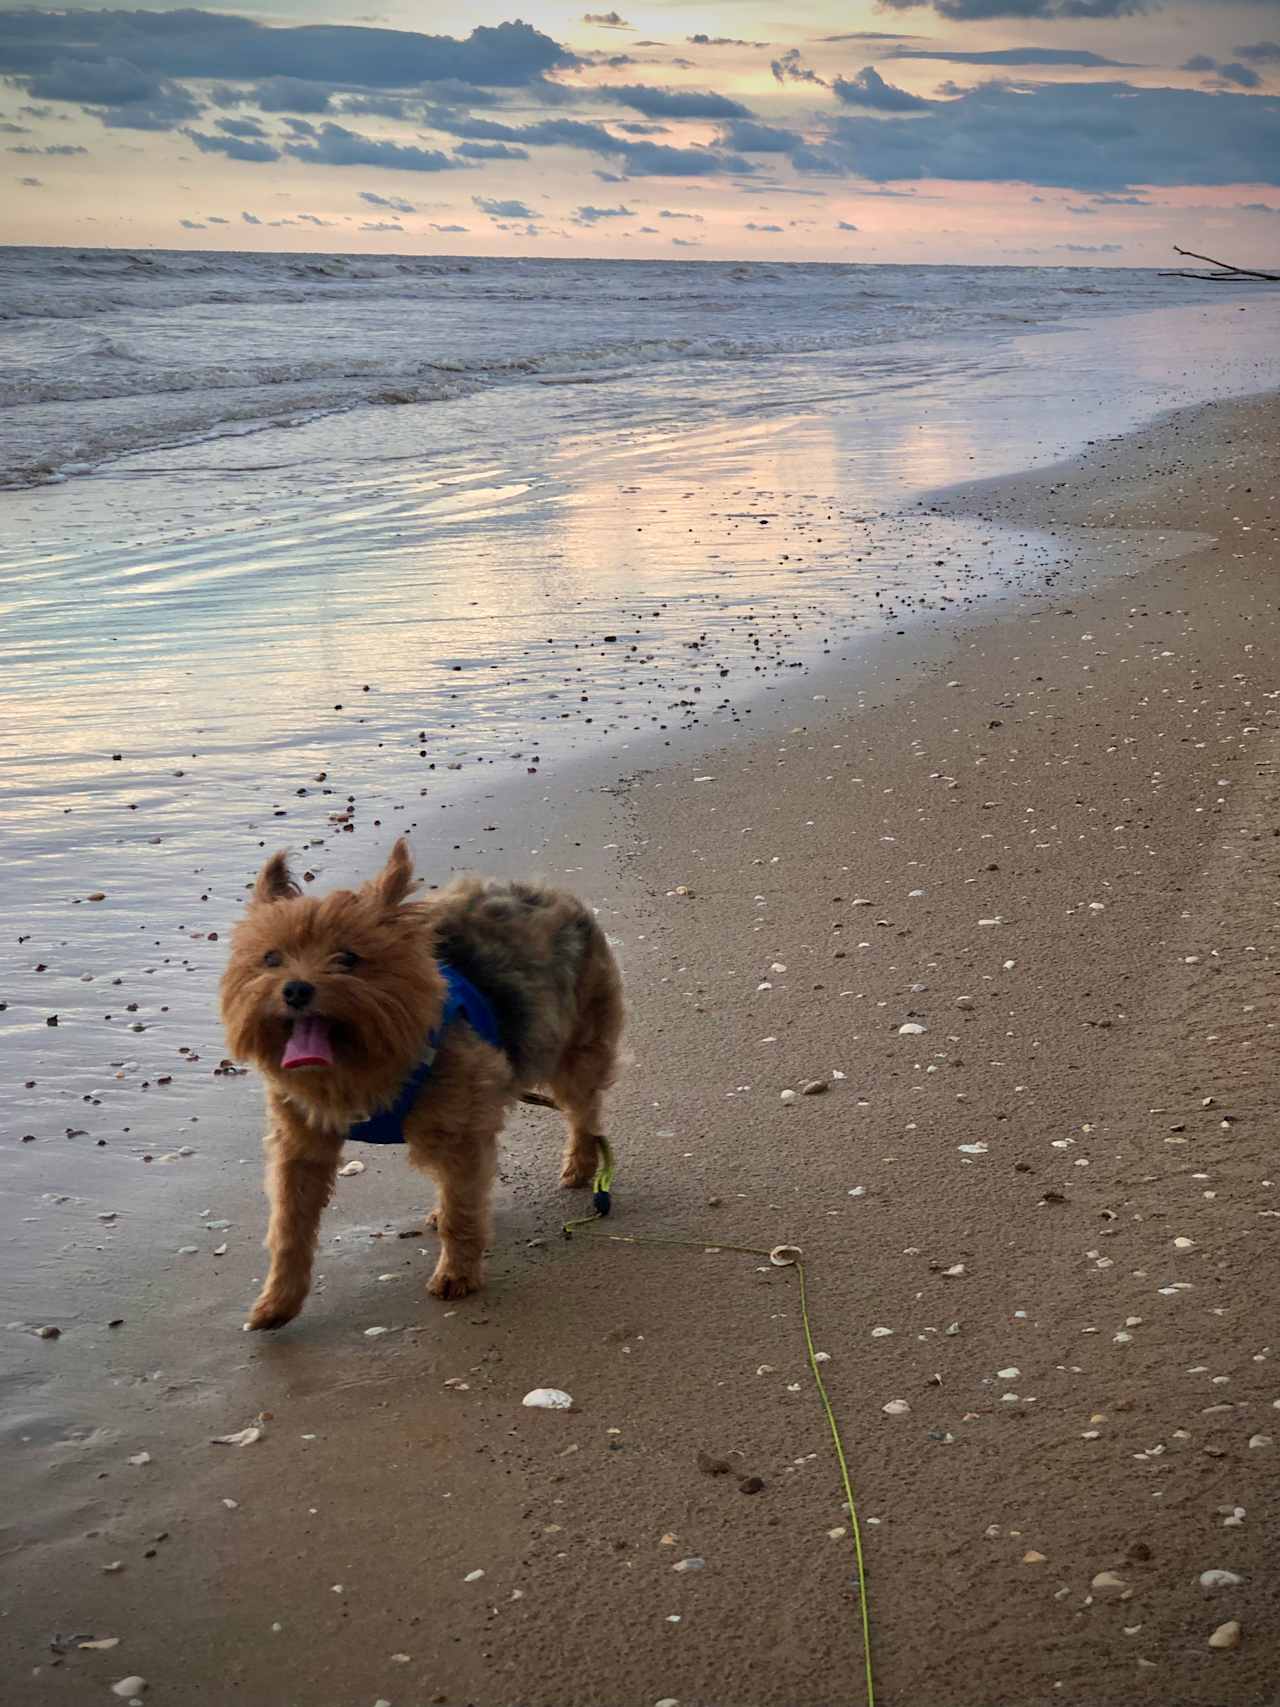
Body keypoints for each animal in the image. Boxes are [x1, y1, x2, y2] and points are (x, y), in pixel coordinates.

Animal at [220, 833, 628, 1324]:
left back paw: (581, 1164)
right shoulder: (300, 1142)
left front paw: (457, 1274)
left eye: (348, 958)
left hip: (575, 1047)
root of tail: (552, 893)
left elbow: (462, 1210)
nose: (296, 989)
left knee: (583, 1110)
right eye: (270, 958)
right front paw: (278, 1300)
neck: (357, 1067)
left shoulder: (459, 1127)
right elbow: (289, 1226)